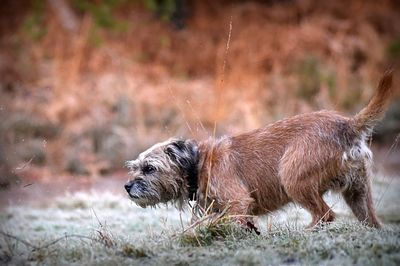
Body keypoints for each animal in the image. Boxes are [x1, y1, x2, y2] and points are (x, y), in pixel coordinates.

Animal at [125, 70, 394, 229]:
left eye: (149, 168)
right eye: (135, 167)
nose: (127, 186)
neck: (198, 164)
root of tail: (347, 125)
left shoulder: (238, 203)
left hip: (292, 178)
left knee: (325, 215)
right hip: (358, 193)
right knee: (370, 220)